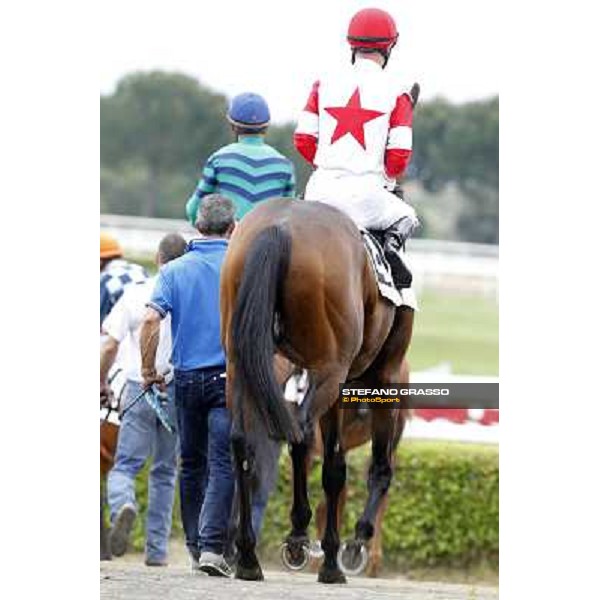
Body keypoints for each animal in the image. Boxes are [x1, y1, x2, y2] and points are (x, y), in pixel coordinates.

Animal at [220, 199, 412, 584]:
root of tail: (280, 226)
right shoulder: (381, 375)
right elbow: (368, 467)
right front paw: (349, 546)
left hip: (242, 361)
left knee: (244, 441)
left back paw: (248, 555)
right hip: (330, 369)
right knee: (306, 437)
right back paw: (313, 547)